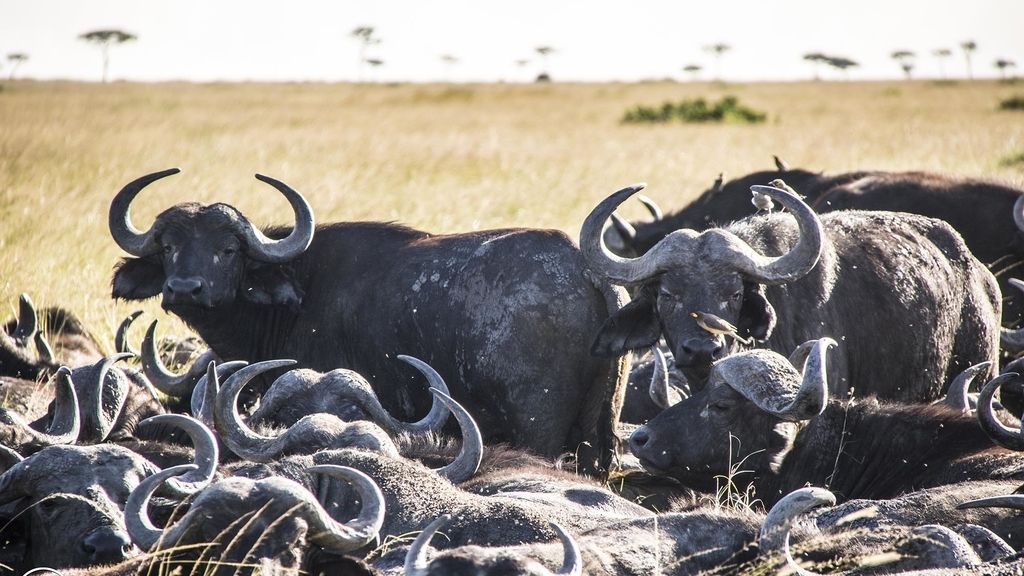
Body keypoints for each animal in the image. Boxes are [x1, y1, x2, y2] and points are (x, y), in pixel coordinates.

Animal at [108, 166, 626, 471]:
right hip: (599, 432)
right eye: (168, 246)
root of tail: (583, 266)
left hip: (539, 427)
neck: (300, 291)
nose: (184, 288)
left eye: (228, 249)